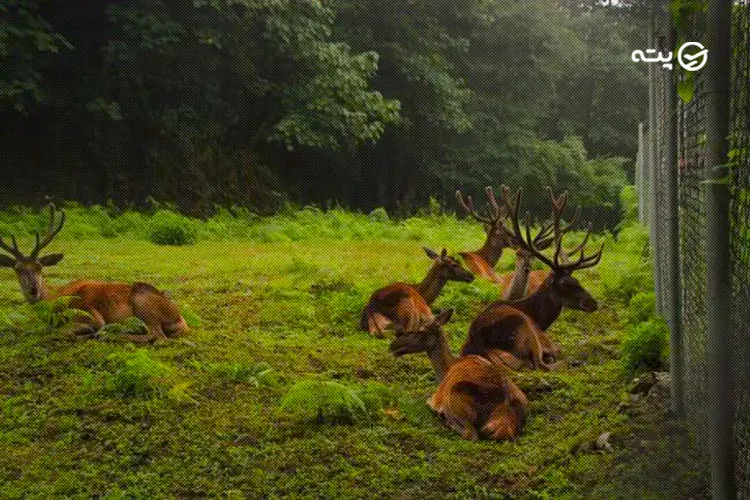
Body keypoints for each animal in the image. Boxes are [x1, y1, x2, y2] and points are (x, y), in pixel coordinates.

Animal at [0, 205, 188, 342]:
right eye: (17, 269)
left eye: (39, 266)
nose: (33, 290)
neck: (55, 299)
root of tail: (181, 320)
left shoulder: (90, 314)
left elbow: (61, 331)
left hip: (142, 301)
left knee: (158, 336)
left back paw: (112, 335)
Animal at [390, 308, 532, 442]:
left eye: (419, 331)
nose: (393, 346)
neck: (447, 368)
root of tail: (504, 421)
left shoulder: (437, 397)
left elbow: (428, 400)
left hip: (455, 398)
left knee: (471, 434)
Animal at [462, 188, 608, 372]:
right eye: (565, 283)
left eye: (577, 280)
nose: (593, 303)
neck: (539, 317)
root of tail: (482, 345)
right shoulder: (542, 335)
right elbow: (557, 351)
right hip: (527, 328)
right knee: (542, 364)